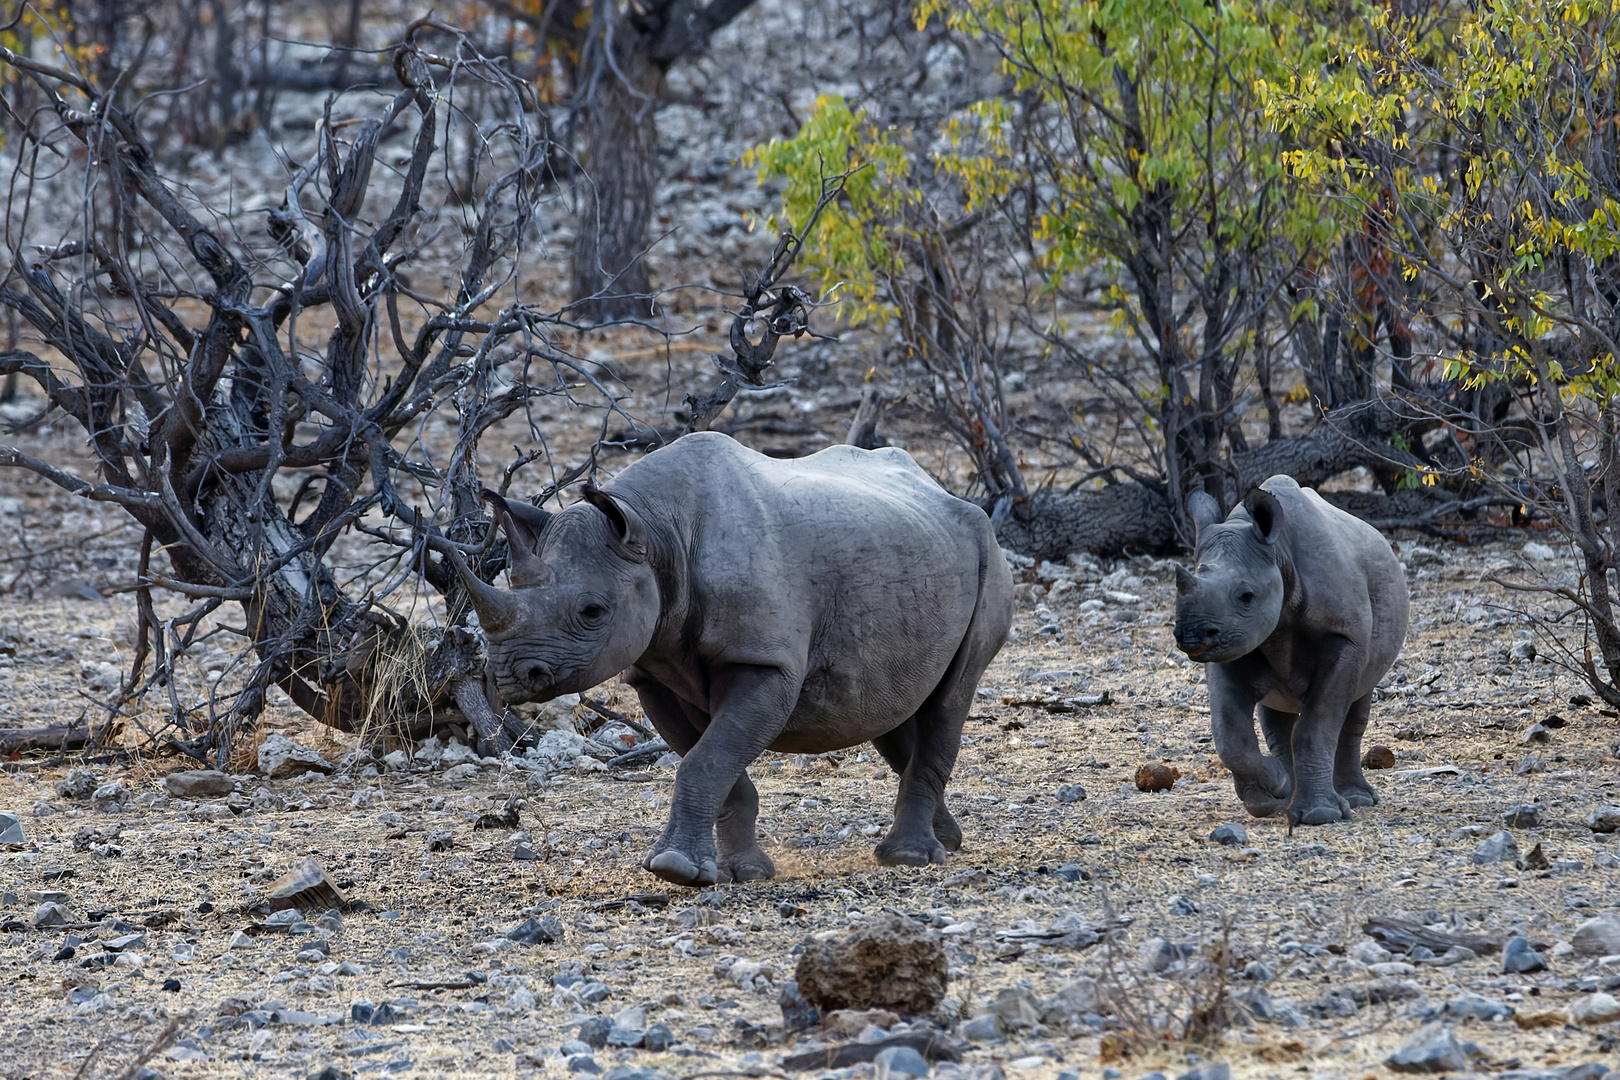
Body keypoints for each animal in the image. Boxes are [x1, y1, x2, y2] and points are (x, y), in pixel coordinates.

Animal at [450, 430, 1010, 887]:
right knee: (893, 707)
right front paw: (740, 872)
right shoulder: (653, 670)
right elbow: (713, 762)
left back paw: (909, 858)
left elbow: (707, 759)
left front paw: (674, 870)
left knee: (951, 697)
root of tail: (945, 493)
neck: (654, 530)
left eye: (592, 611)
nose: (511, 677)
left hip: (987, 550)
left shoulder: (765, 662)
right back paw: (947, 839)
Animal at [1172, 479, 1412, 829]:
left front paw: (1319, 816)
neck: (1279, 555)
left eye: (1247, 596)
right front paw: (1271, 792)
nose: (1190, 636)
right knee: (1277, 714)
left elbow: (1316, 727)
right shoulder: (1234, 642)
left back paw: (1357, 800)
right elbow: (1228, 732)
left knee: (1358, 700)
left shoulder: (1345, 638)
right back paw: (1283, 796)